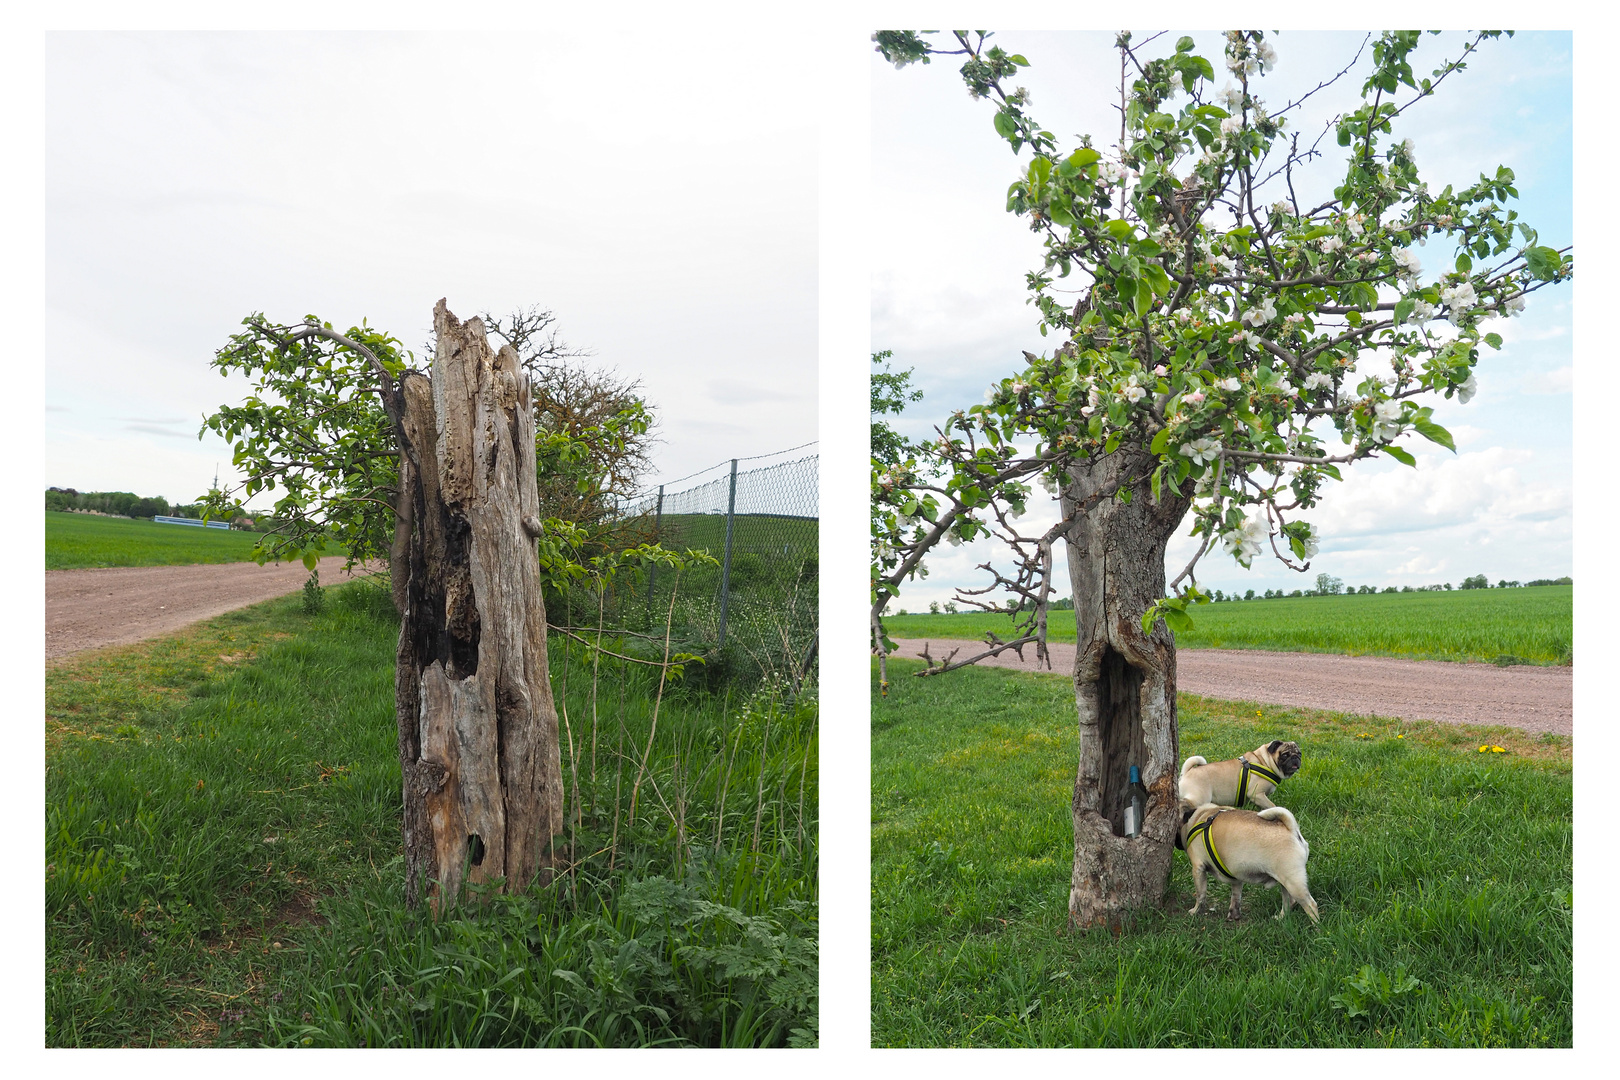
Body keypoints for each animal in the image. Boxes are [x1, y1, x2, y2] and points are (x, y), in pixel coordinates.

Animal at [1179, 799, 1315, 926]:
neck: (1201, 815)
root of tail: (1291, 830)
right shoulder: (1235, 877)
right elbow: (1236, 897)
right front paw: (1234, 915)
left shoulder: (1198, 869)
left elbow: (1200, 895)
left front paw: (1195, 911)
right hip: (1284, 880)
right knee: (1289, 901)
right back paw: (1281, 917)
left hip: (1293, 882)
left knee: (1311, 905)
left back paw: (1316, 926)